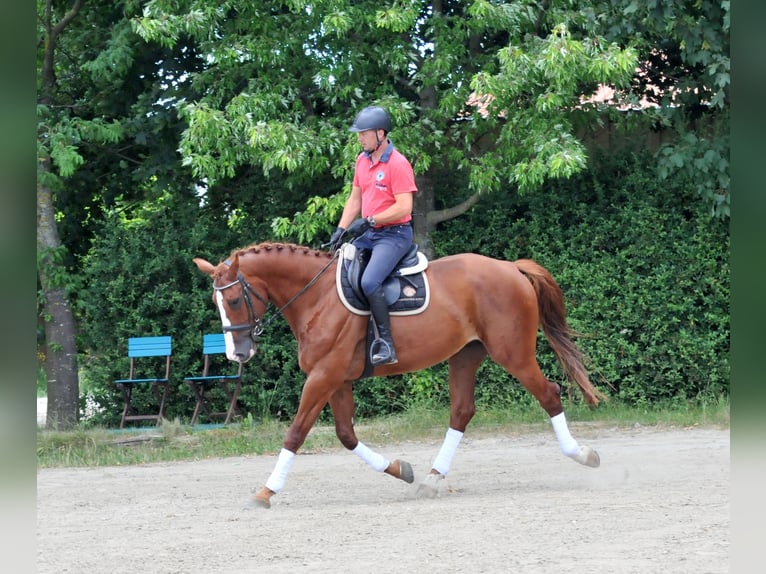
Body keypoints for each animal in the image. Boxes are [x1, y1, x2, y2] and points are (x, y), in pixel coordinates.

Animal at [194, 242, 608, 508]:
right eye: (216, 302)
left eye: (234, 300)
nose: (237, 354)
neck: (317, 297)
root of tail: (509, 268)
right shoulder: (337, 380)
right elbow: (346, 436)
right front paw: (400, 469)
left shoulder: (324, 376)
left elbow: (296, 433)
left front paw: (267, 491)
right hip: (465, 356)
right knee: (462, 411)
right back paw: (432, 478)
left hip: (513, 354)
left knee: (549, 393)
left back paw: (583, 454)